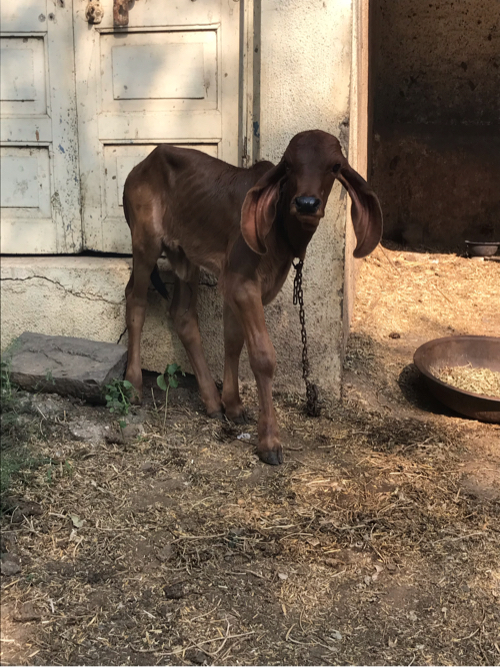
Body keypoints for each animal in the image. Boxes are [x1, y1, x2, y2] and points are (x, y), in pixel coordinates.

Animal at [123, 129, 380, 464]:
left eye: (335, 166)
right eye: (288, 165)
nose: (306, 203)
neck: (282, 233)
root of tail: (141, 165)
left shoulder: (238, 286)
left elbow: (234, 342)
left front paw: (232, 405)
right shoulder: (242, 283)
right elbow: (262, 356)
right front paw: (269, 440)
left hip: (186, 257)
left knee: (182, 315)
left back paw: (211, 400)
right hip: (145, 244)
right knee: (135, 302)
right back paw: (133, 386)